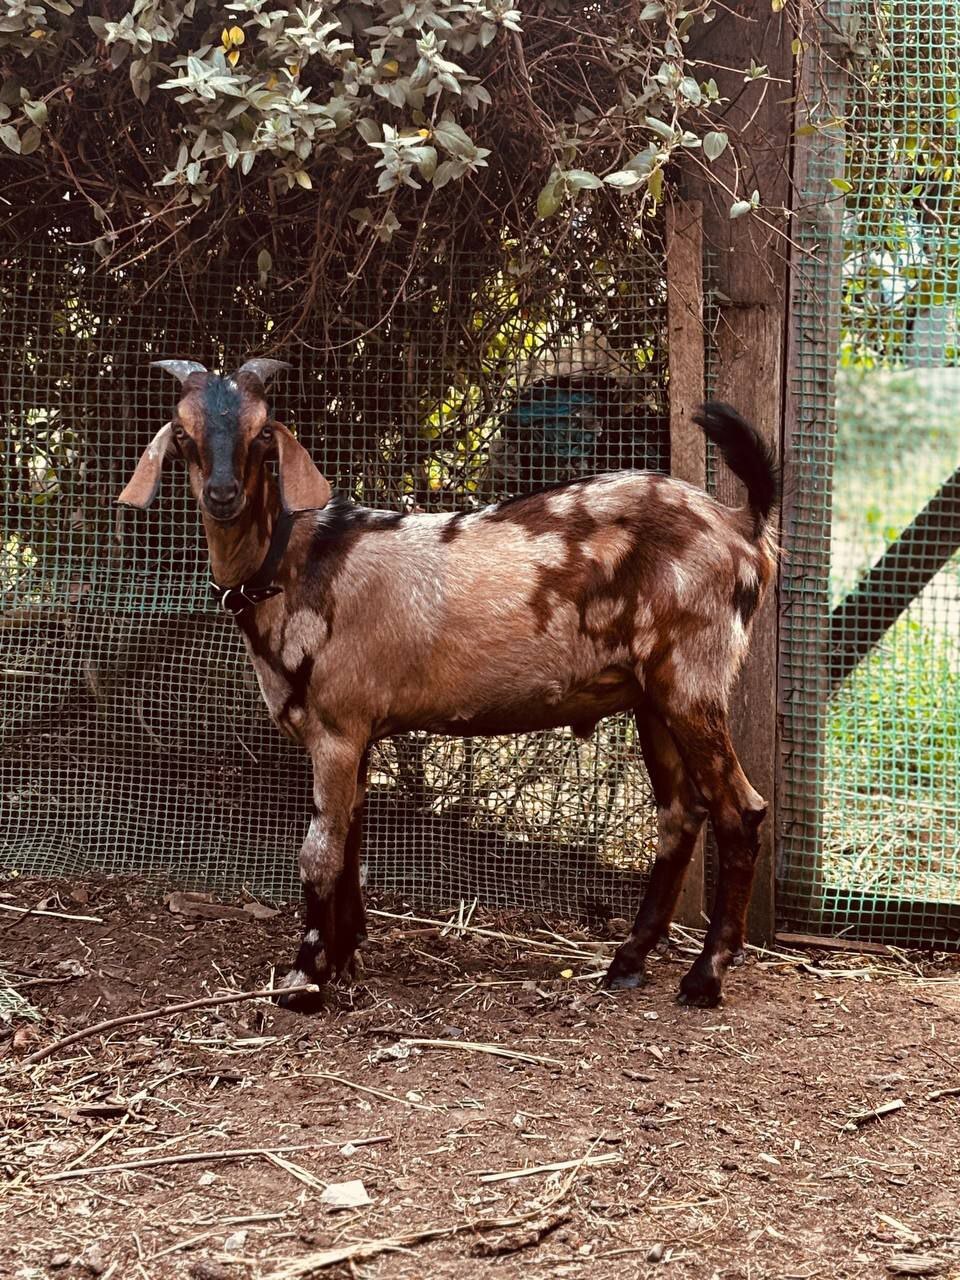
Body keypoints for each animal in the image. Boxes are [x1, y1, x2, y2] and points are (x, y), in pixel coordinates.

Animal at [120, 360, 783, 1008]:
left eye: (261, 434)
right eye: (183, 433)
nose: (222, 495)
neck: (294, 562)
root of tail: (740, 525)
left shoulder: (335, 727)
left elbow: (319, 852)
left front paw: (305, 978)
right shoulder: (357, 732)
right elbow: (352, 840)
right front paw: (345, 957)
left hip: (691, 677)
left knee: (739, 811)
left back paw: (704, 978)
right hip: (652, 694)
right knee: (680, 813)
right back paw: (627, 963)